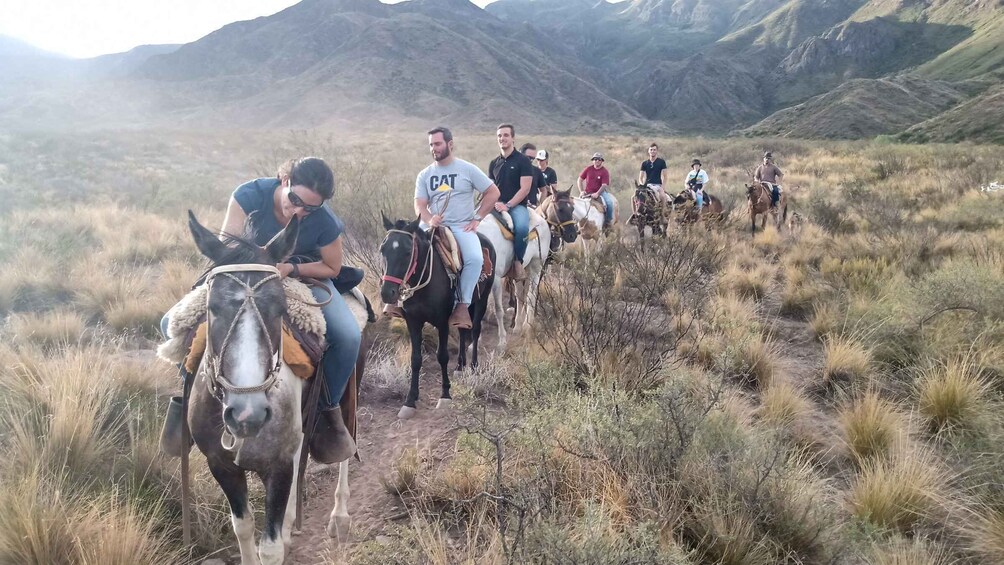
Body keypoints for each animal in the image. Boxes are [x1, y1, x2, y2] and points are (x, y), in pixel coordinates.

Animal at [475, 209, 554, 347]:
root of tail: (543, 220)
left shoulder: (496, 280)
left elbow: (498, 309)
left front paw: (502, 341)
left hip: (536, 268)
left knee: (531, 296)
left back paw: (527, 326)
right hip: (521, 273)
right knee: (520, 296)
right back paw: (517, 326)